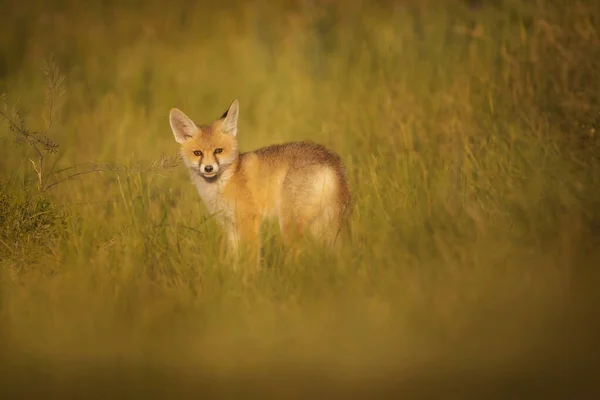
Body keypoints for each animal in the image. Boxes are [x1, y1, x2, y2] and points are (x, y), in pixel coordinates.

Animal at [169, 98, 352, 264]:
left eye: (218, 151)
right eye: (197, 153)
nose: (208, 168)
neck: (227, 181)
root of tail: (329, 158)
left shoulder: (249, 220)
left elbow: (251, 260)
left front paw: (251, 279)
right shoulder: (230, 225)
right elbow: (234, 261)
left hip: (290, 223)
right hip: (319, 225)